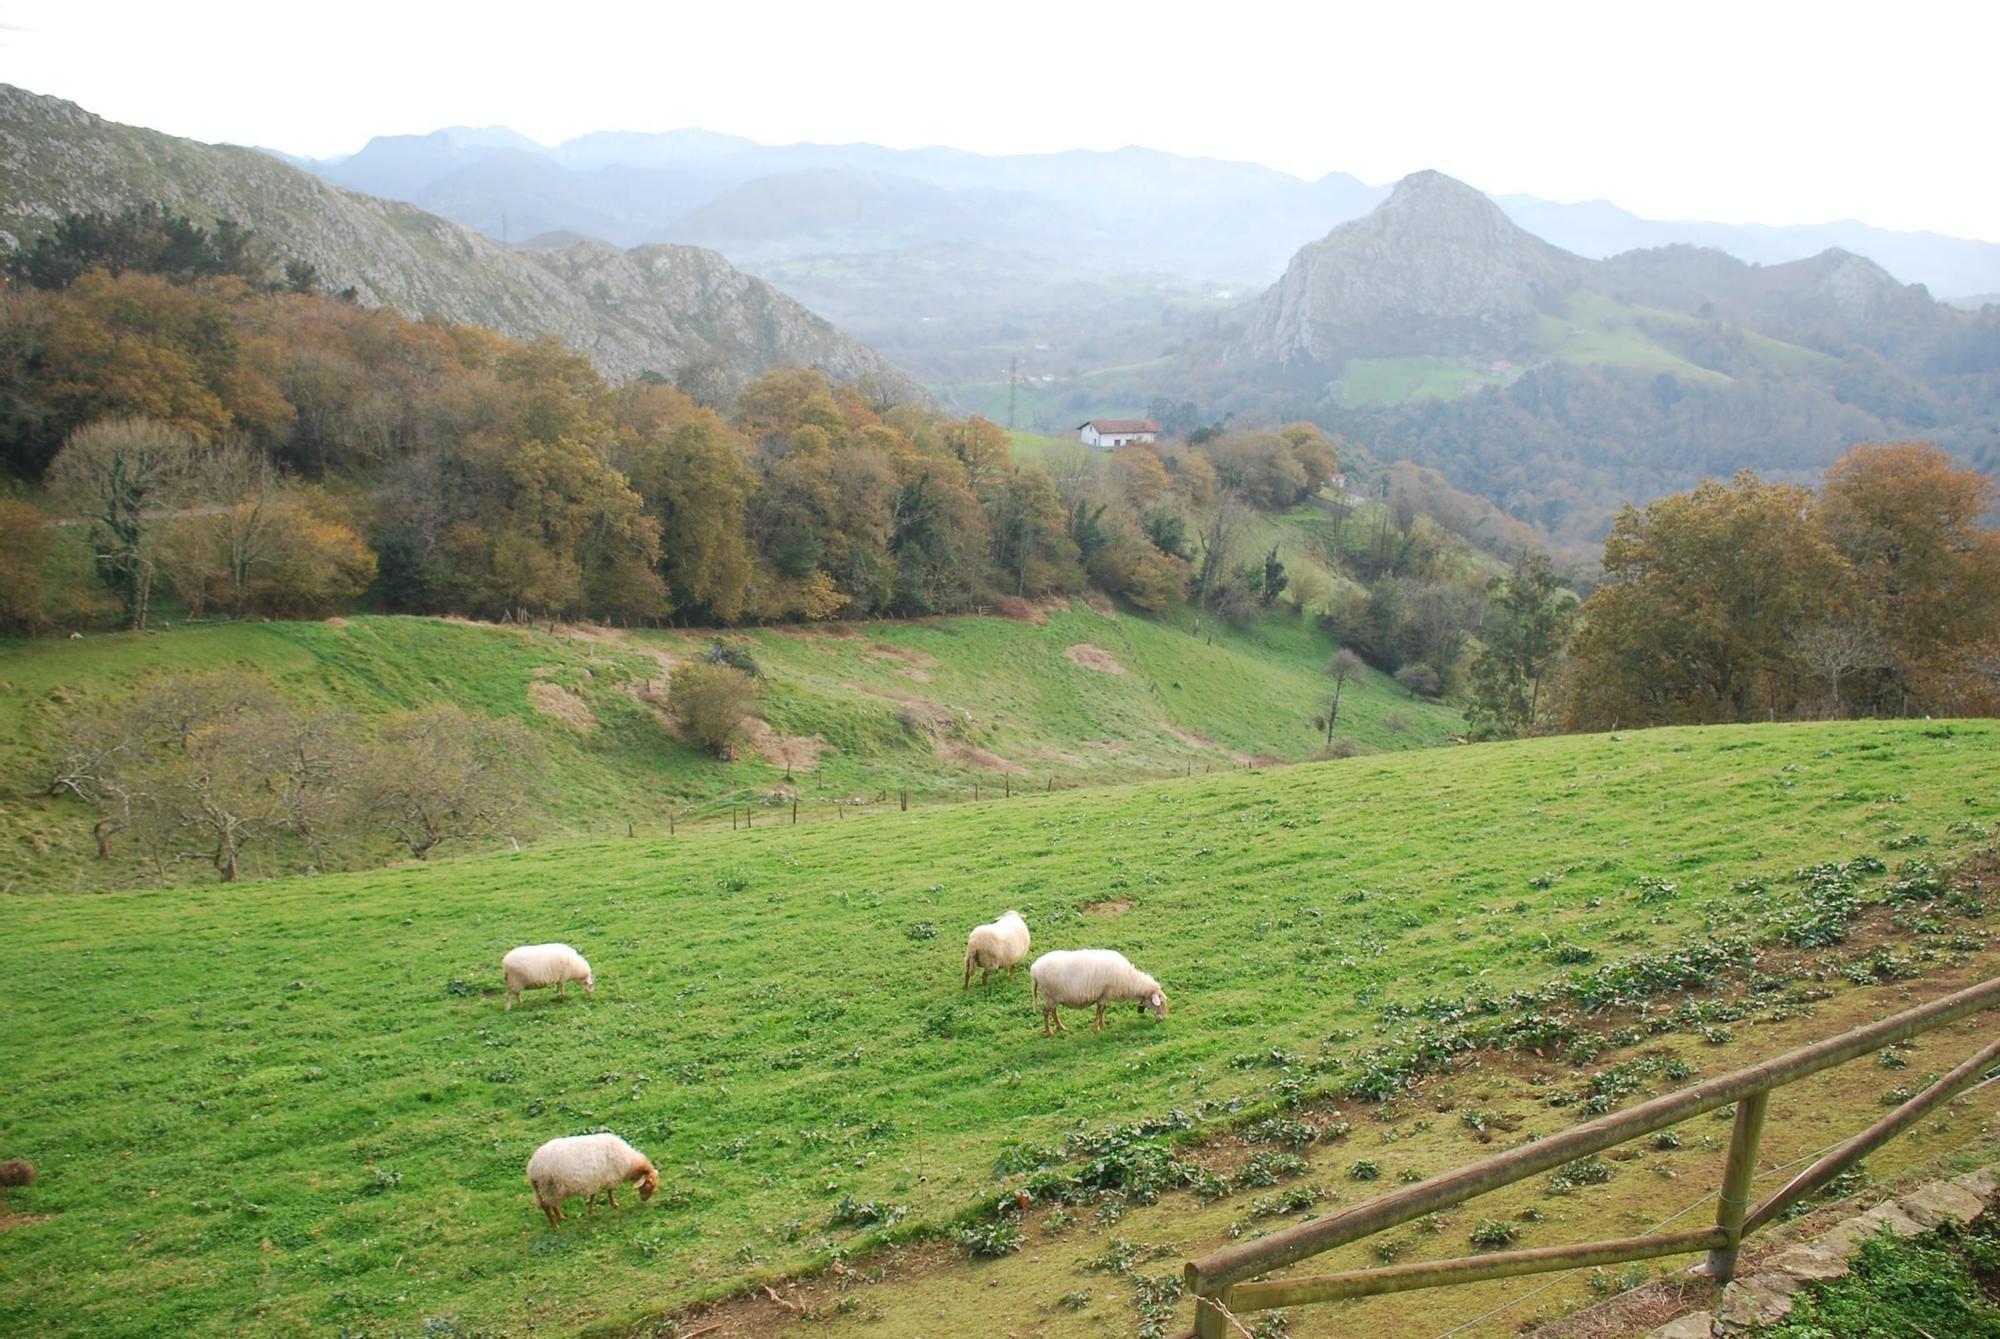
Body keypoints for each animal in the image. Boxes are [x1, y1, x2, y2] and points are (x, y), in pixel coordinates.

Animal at [528, 1135, 660, 1231]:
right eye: (648, 1184)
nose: (644, 1199)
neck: (629, 1162)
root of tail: (532, 1167)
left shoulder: (596, 1180)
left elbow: (593, 1195)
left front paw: (591, 1210)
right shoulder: (607, 1177)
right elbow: (609, 1191)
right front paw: (613, 1204)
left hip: (549, 1189)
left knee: (553, 1204)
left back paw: (561, 1217)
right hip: (548, 1186)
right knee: (547, 1206)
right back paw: (555, 1225)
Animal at [1032, 943, 1168, 1039]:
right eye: (1160, 1003)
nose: (1163, 1019)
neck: (1130, 980)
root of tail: (1034, 969)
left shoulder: (1105, 995)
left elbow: (1102, 1010)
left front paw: (1102, 1025)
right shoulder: (1105, 994)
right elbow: (1099, 1011)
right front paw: (1096, 1028)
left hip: (1053, 997)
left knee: (1053, 1011)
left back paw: (1061, 1027)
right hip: (1049, 994)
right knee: (1046, 1012)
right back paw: (1050, 1031)